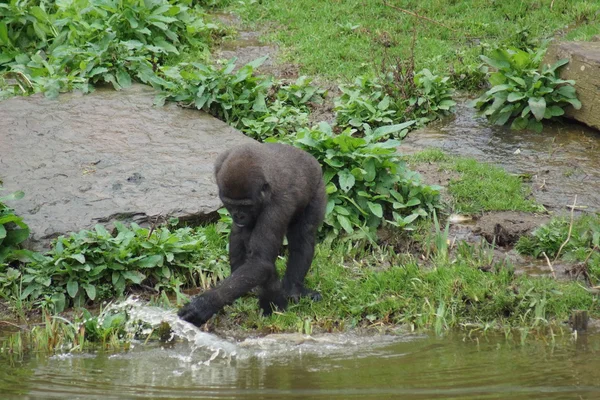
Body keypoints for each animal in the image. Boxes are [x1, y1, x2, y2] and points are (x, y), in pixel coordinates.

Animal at [178, 142, 328, 326]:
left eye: (246, 205)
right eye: (230, 204)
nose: (238, 216)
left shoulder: (277, 205)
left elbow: (260, 261)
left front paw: (206, 303)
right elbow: (252, 252)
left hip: (317, 186)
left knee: (303, 235)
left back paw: (293, 289)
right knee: (242, 233)